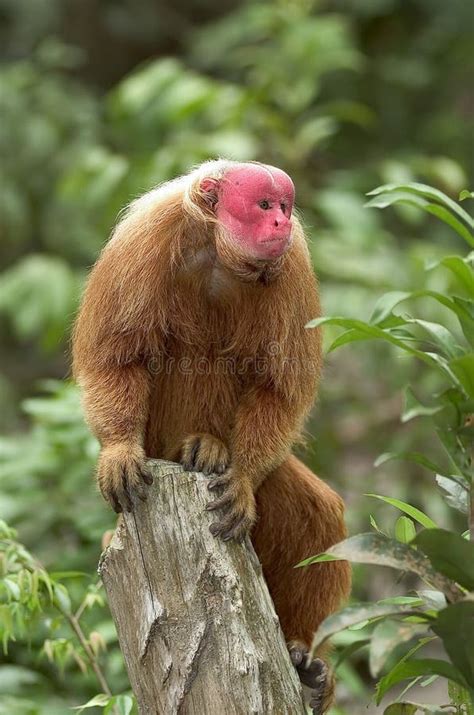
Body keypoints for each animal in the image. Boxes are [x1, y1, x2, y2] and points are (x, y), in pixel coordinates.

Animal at [71, 162, 352, 715]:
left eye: (285, 208)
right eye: (264, 206)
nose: (278, 224)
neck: (221, 253)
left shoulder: (293, 264)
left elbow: (279, 391)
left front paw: (241, 477)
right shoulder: (145, 239)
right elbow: (114, 355)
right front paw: (118, 448)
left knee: (319, 516)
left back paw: (305, 661)